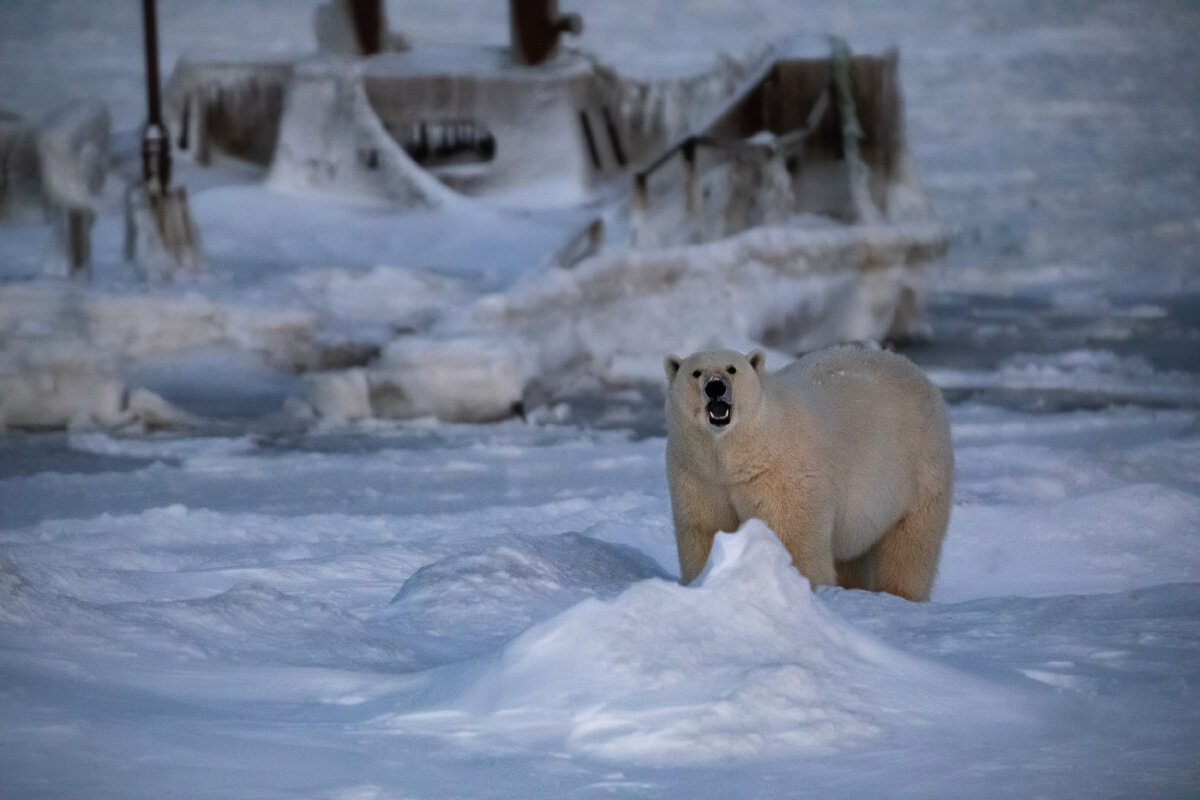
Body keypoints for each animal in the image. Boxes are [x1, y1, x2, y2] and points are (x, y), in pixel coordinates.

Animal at [662, 345, 950, 599]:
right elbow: (704, 529)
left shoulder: (780, 472)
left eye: (732, 369)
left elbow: (791, 535)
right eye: (696, 372)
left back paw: (900, 594)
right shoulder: (699, 474)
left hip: (919, 471)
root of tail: (910, 365)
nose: (715, 387)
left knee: (909, 549)